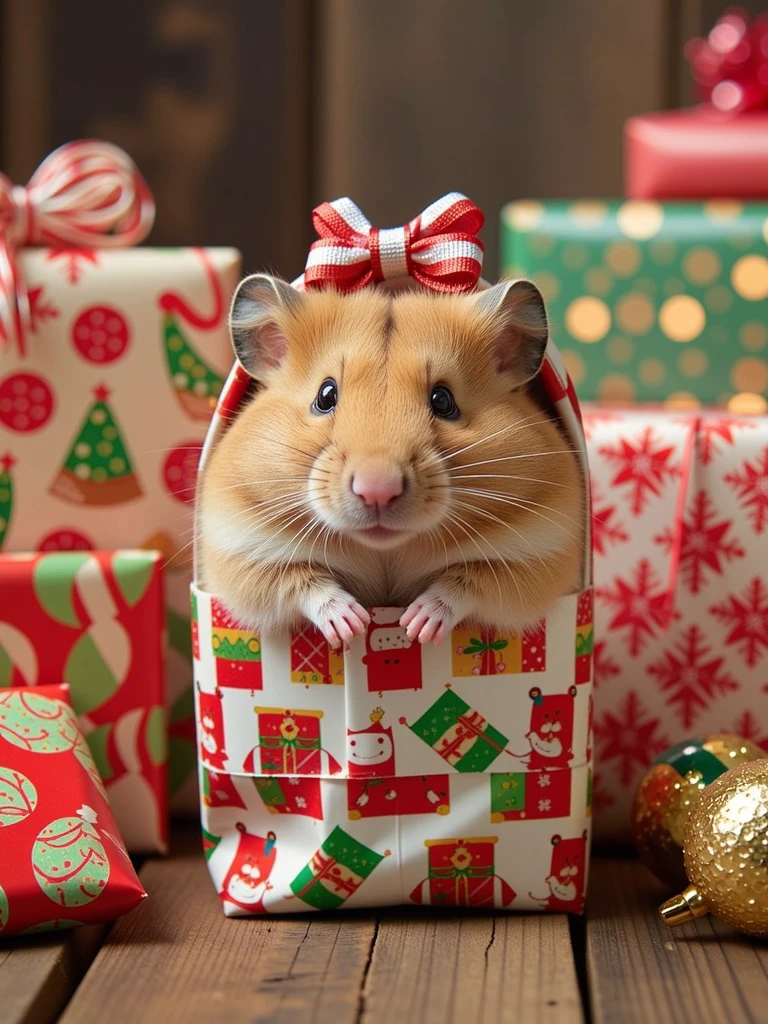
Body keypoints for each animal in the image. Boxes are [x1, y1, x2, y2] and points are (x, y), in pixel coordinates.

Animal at [198, 276, 581, 643]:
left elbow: (462, 583)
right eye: (325, 395)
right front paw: (353, 626)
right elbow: (306, 583)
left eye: (443, 400)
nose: (377, 491)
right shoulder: (245, 552)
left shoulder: (533, 557)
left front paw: (415, 626)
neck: (385, 550)